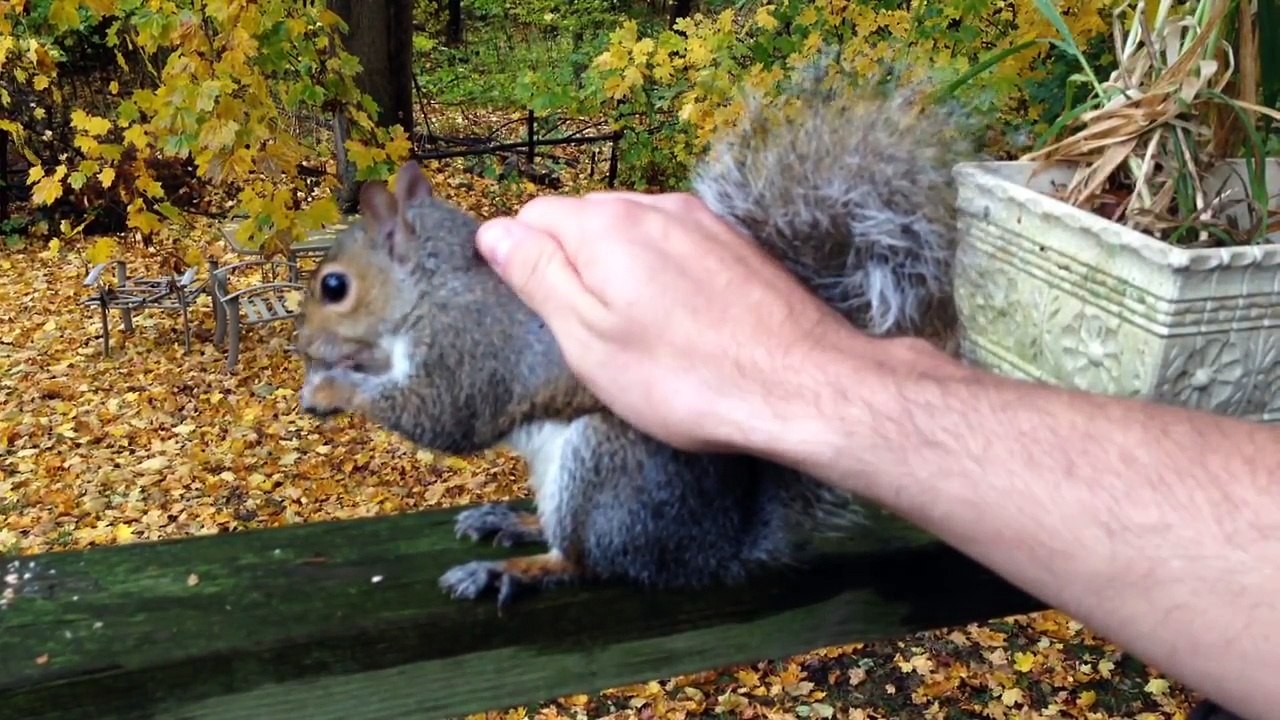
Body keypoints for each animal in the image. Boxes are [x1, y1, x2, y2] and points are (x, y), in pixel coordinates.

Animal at [294, 66, 978, 609]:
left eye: (334, 287)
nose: (302, 345)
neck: (435, 286)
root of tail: (710, 550)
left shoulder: (471, 350)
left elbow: (441, 415)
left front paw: (330, 389)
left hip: (605, 467)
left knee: (585, 560)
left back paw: (508, 568)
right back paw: (513, 522)